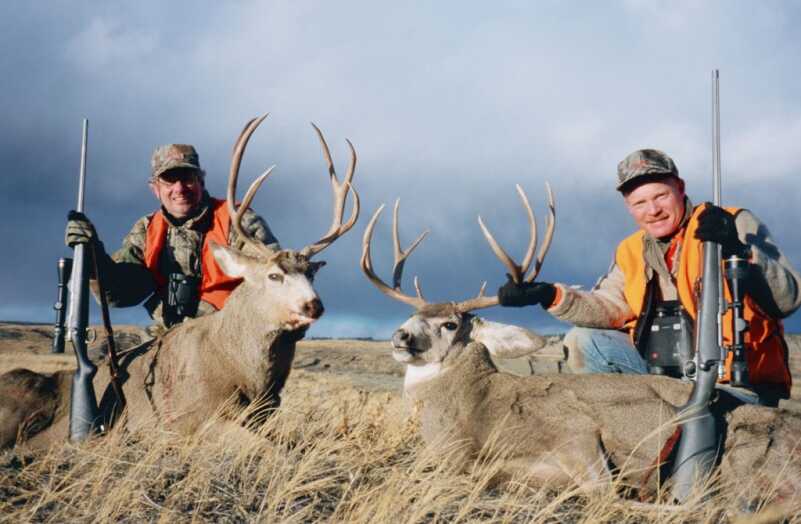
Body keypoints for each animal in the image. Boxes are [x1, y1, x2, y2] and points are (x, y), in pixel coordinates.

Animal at [0, 115, 360, 449]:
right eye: (274, 275)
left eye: (311, 273)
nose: (314, 305)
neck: (242, 368)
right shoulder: (191, 419)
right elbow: (270, 449)